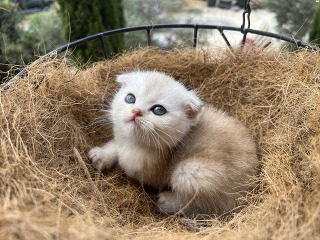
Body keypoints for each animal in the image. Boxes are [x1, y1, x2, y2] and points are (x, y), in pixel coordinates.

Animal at [87, 71, 258, 216]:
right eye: (130, 98)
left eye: (158, 110)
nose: (136, 111)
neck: (136, 144)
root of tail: (254, 180)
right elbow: (117, 145)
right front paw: (101, 156)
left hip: (190, 172)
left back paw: (167, 202)